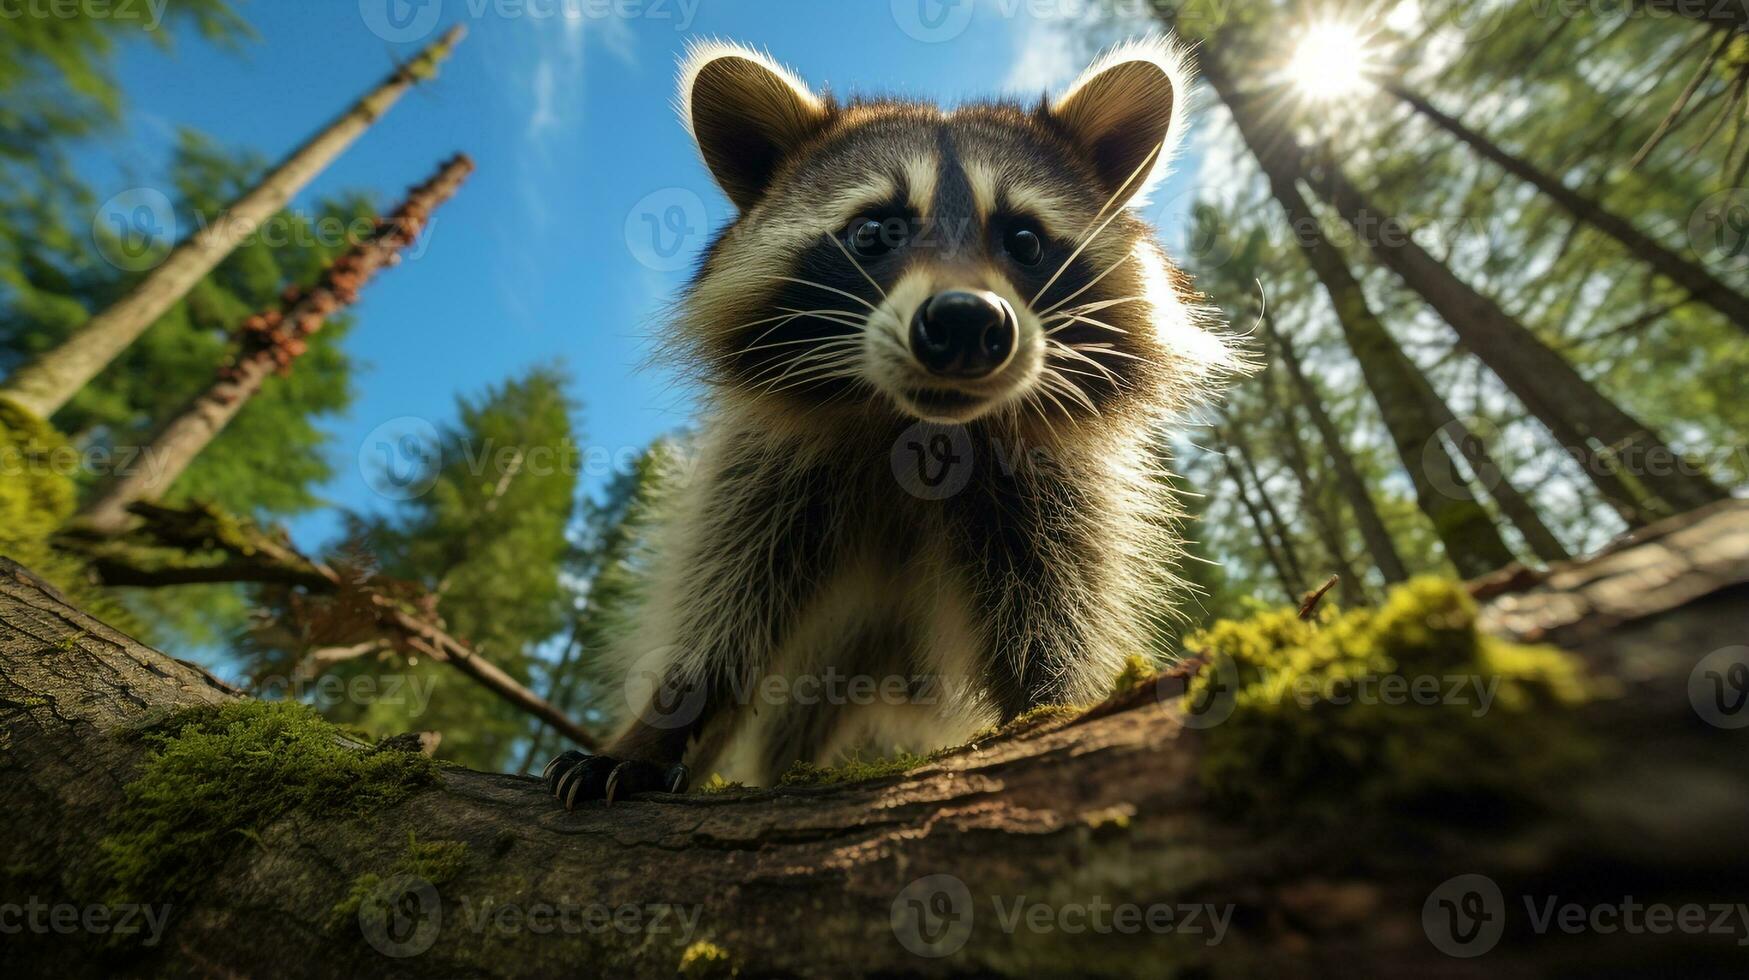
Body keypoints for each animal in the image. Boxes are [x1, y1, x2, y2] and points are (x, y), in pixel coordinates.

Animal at [538, 36, 1238, 805]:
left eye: (1024, 240)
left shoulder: (1055, 493)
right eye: (874, 230)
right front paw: (665, 717)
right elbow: (724, 599)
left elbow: (1056, 611)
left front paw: (1051, 706)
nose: (964, 323)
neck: (920, 431)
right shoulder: (763, 471)